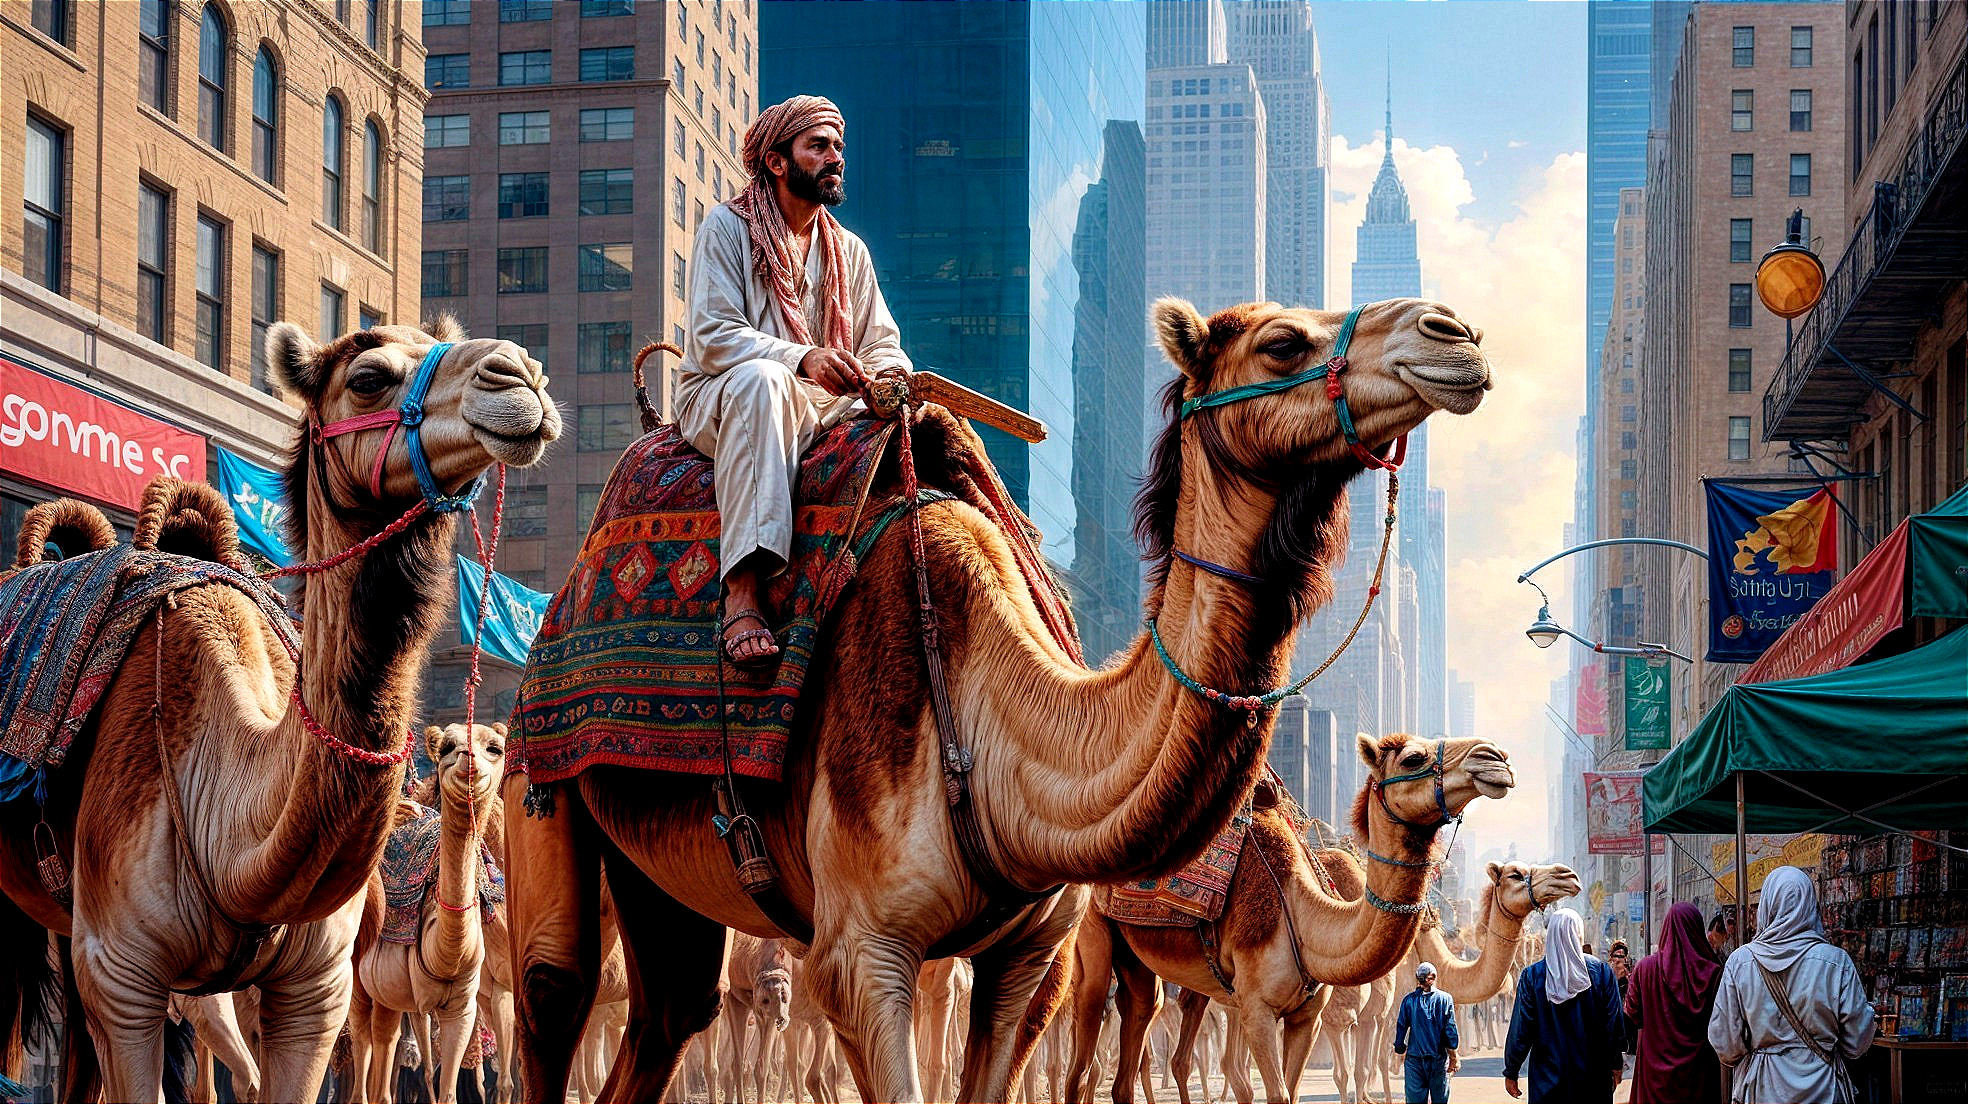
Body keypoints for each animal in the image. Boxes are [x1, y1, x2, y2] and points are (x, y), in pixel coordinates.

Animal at [350, 722, 508, 1103]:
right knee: (364, 1040)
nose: (468, 758)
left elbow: (447, 1088)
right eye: (448, 746)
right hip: (359, 978)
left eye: (494, 748)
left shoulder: (462, 1010)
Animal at [1069, 737, 1515, 1104]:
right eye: (1413, 758)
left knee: (1141, 1037)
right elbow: (1279, 1091)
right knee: (1086, 1059)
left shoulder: (1307, 1017)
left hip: (1145, 967)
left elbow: (1295, 1089)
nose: (1495, 757)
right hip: (1091, 939)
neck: (1302, 916)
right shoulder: (1258, 1010)